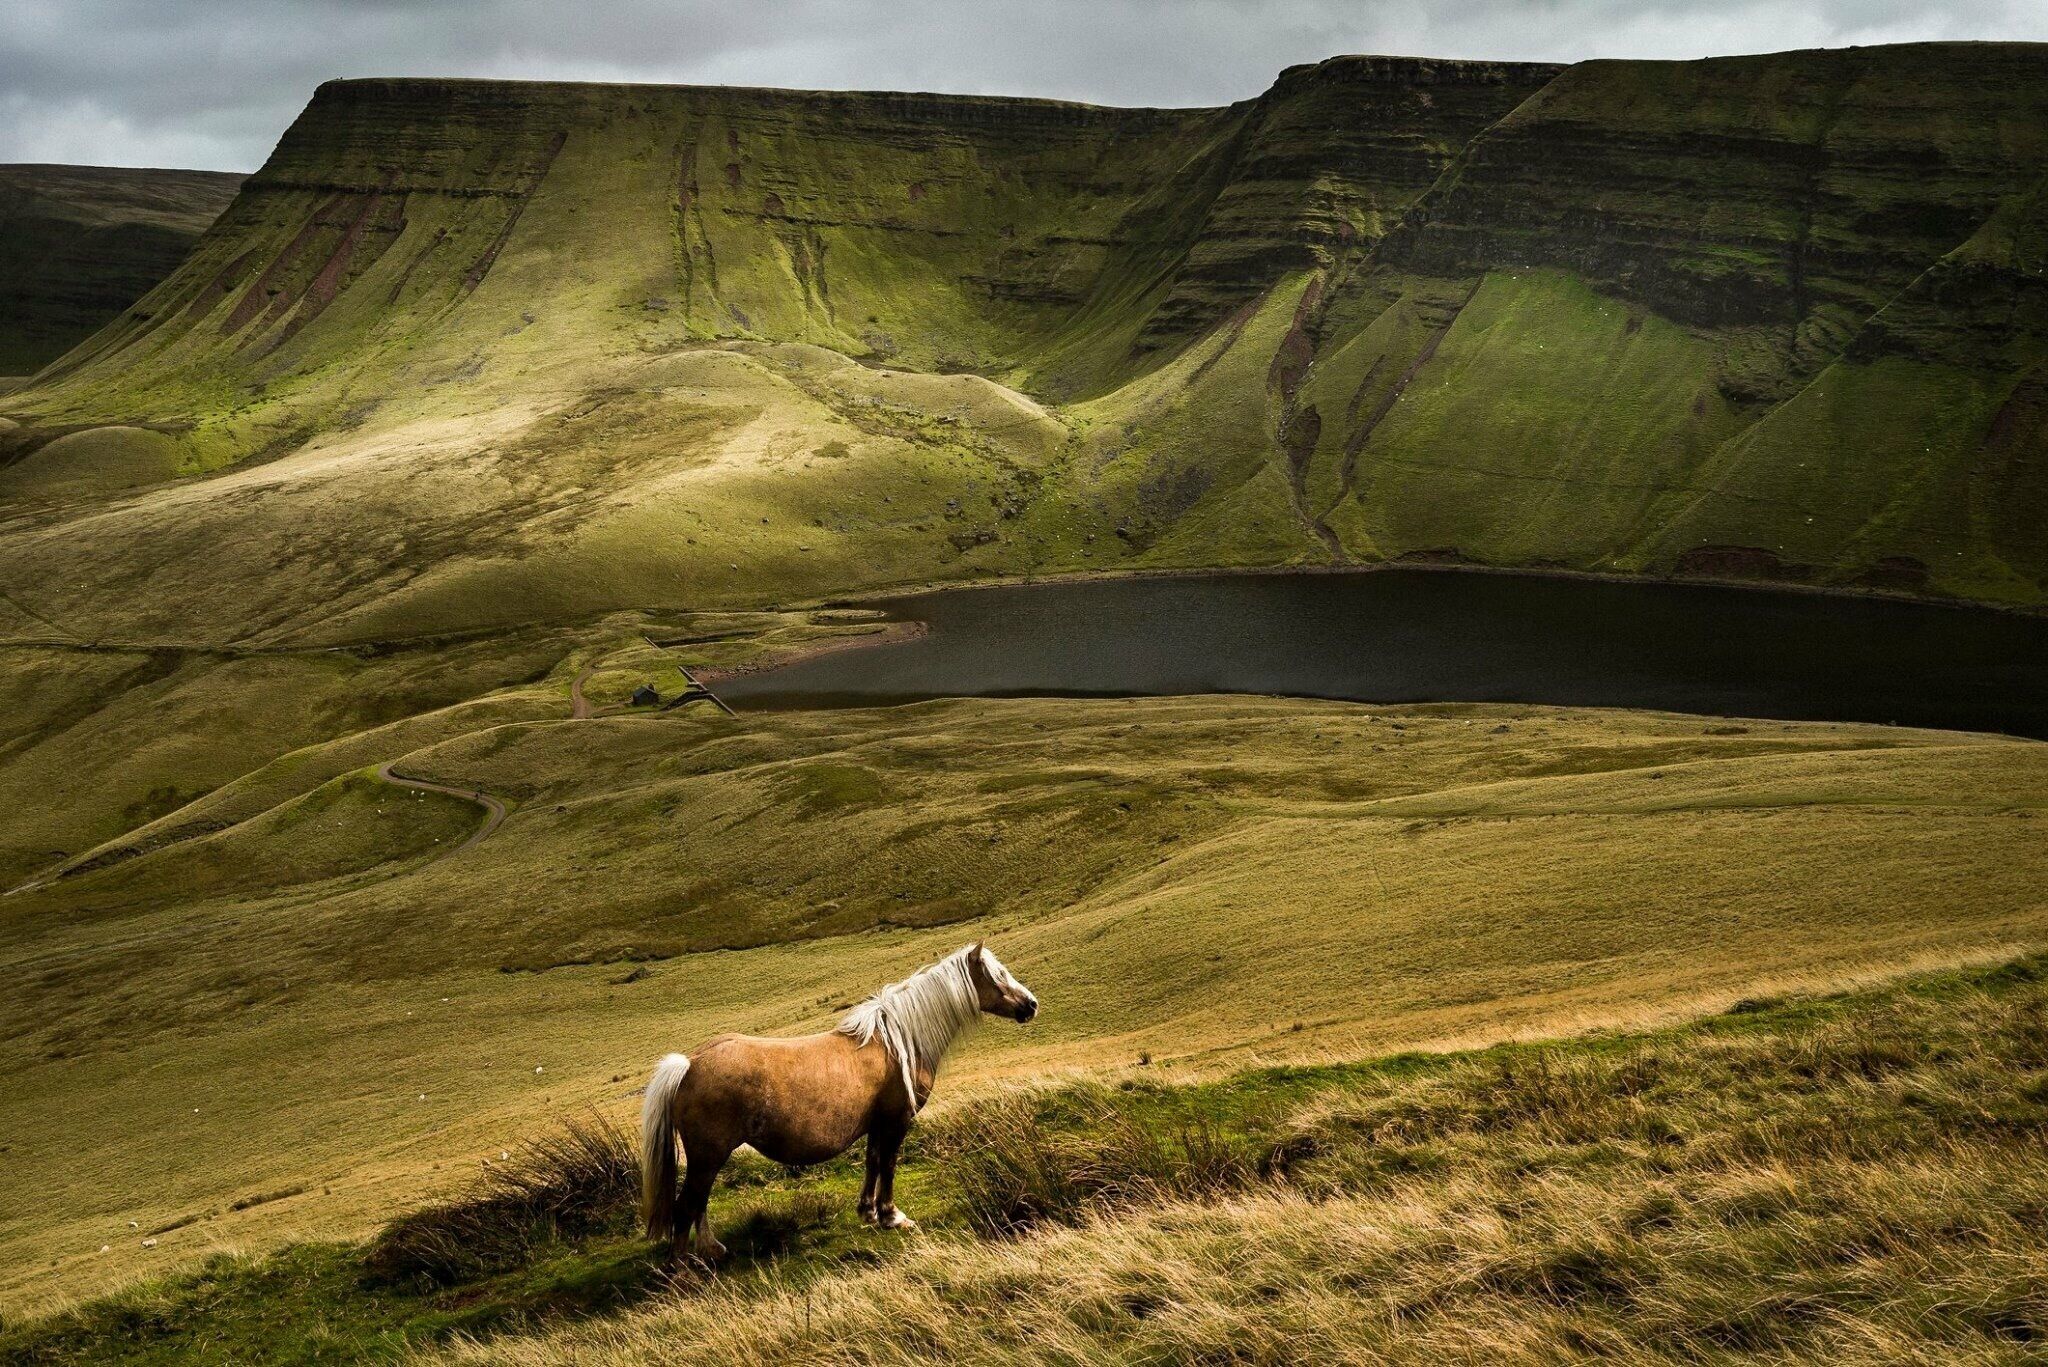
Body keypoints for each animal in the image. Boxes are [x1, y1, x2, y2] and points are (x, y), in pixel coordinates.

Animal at [640, 941, 1039, 1259]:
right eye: (998, 974)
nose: (1031, 1004)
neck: (898, 1042)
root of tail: (691, 1064)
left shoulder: (877, 1124)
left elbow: (873, 1162)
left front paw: (869, 1212)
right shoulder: (896, 1121)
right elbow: (889, 1164)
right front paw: (892, 1216)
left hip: (707, 1158)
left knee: (699, 1203)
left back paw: (710, 1248)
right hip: (708, 1155)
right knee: (686, 1207)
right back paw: (683, 1272)